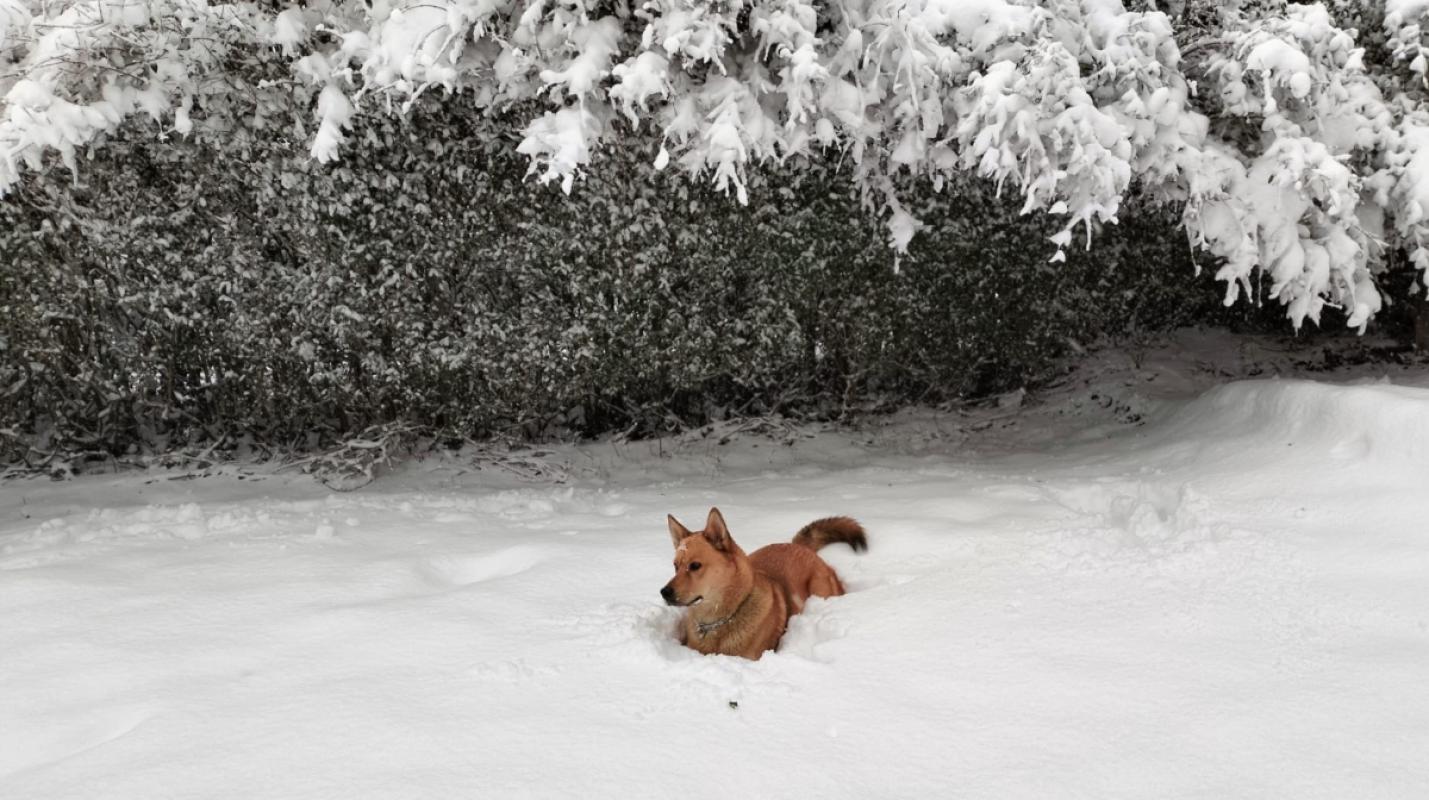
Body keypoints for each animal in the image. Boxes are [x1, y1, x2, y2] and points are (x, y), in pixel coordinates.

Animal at [660, 507, 868, 660]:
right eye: (675, 566)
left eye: (695, 566)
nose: (664, 592)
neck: (720, 621)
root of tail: (799, 545)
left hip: (820, 588)